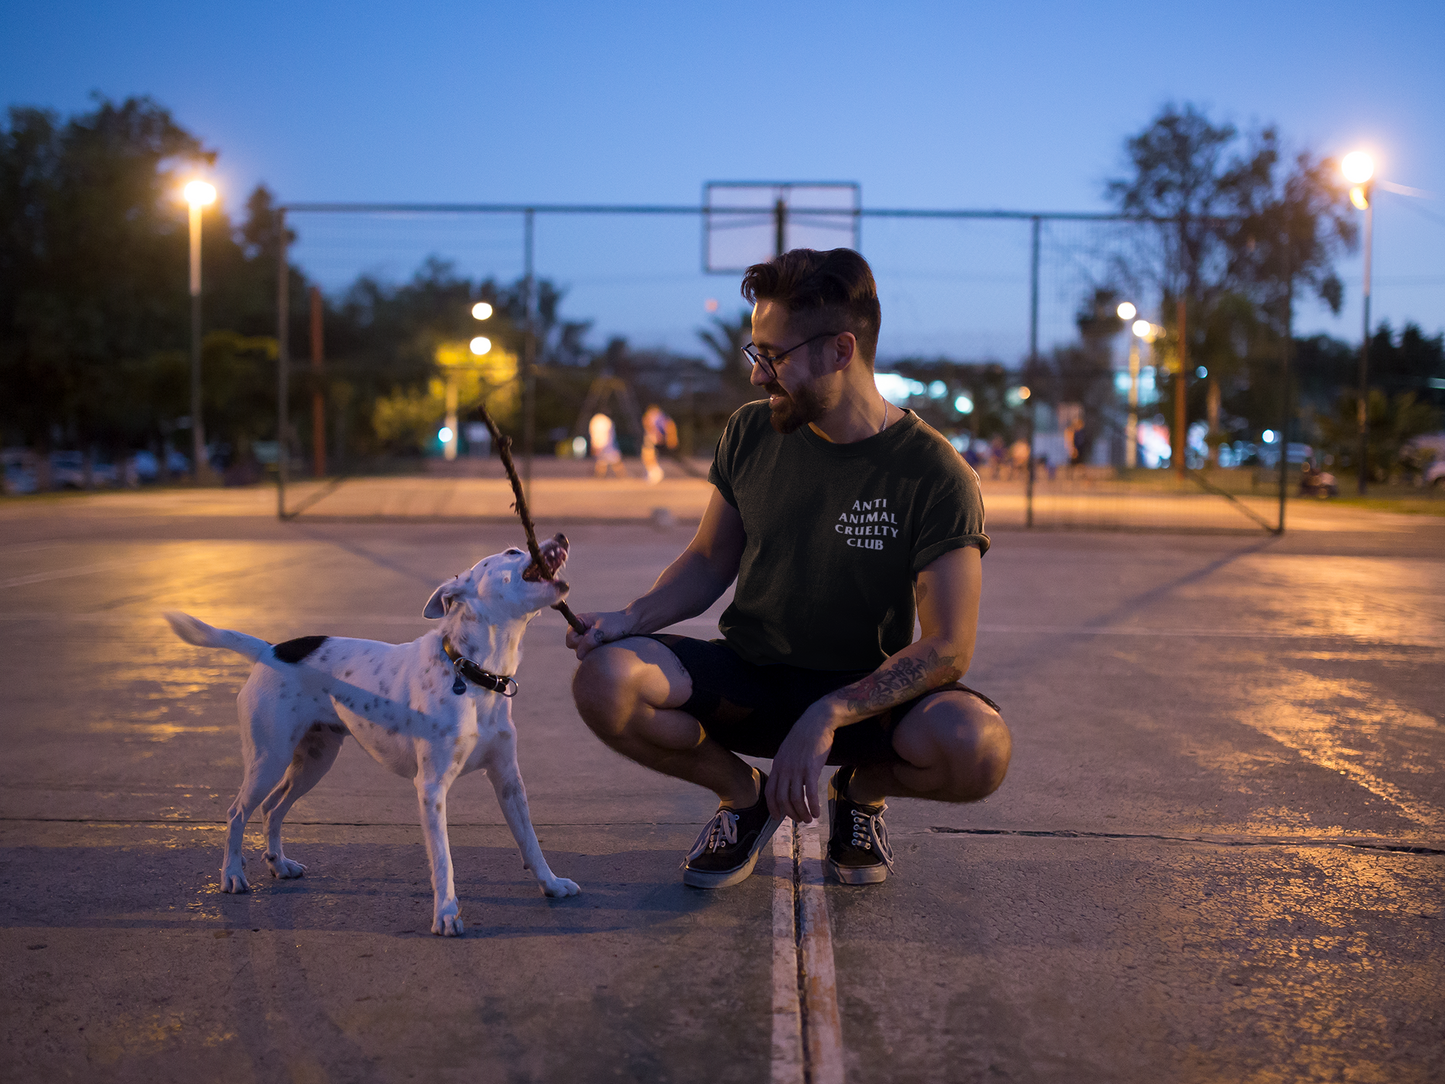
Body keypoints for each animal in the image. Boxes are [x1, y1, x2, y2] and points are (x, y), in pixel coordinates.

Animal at [161, 531, 578, 936]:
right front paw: (445, 914)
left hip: (314, 762)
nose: (561, 536)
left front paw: (551, 884)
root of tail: (271, 650)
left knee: (272, 808)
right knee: (237, 812)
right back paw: (232, 874)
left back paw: (279, 864)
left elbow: (530, 841)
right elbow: (443, 860)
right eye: (512, 551)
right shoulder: (431, 788)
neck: (473, 673)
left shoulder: (508, 780)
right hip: (269, 760)